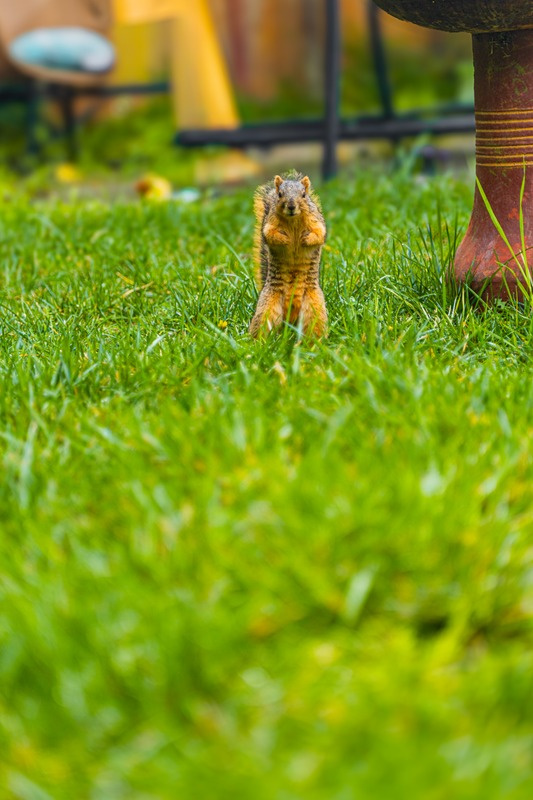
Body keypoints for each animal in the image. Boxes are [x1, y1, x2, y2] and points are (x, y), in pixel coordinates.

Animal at [249, 172, 327, 338]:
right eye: (280, 194)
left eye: (304, 195)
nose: (291, 206)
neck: (293, 220)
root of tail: (290, 320)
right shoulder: (270, 223)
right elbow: (270, 234)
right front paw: (285, 240)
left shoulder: (316, 221)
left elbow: (319, 234)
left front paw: (305, 239)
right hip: (267, 308)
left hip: (314, 308)